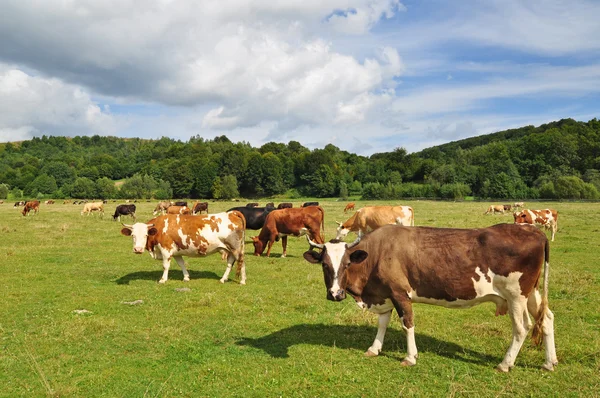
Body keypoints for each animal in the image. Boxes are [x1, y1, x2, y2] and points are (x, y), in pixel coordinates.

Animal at [304, 224, 556, 374]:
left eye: (347, 264)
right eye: (324, 265)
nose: (335, 294)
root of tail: (534, 231)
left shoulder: (399, 293)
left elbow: (407, 324)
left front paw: (410, 357)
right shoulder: (383, 294)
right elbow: (382, 323)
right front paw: (374, 349)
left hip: (516, 295)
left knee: (522, 328)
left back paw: (505, 363)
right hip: (531, 293)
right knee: (547, 319)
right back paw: (549, 362)